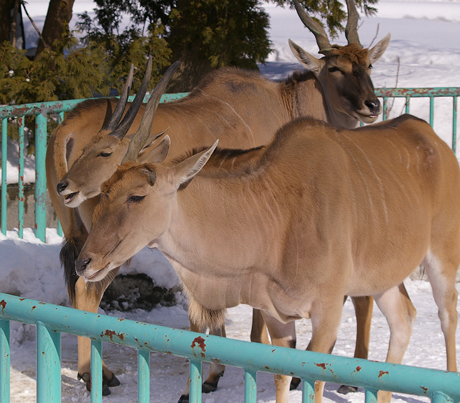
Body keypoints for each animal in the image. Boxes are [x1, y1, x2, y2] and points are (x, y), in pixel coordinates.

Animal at [46, 0, 390, 398]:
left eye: (368, 64)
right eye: (334, 67)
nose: (372, 104)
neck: (284, 103)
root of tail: (63, 130)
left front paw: (214, 372)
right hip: (110, 247)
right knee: (87, 289)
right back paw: (96, 374)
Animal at [75, 111, 460, 403]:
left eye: (137, 196)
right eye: (104, 190)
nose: (84, 262)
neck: (277, 215)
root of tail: (434, 141)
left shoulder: (327, 314)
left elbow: (314, 382)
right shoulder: (278, 318)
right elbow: (280, 378)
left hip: (442, 258)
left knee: (446, 317)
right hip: (382, 280)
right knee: (404, 318)